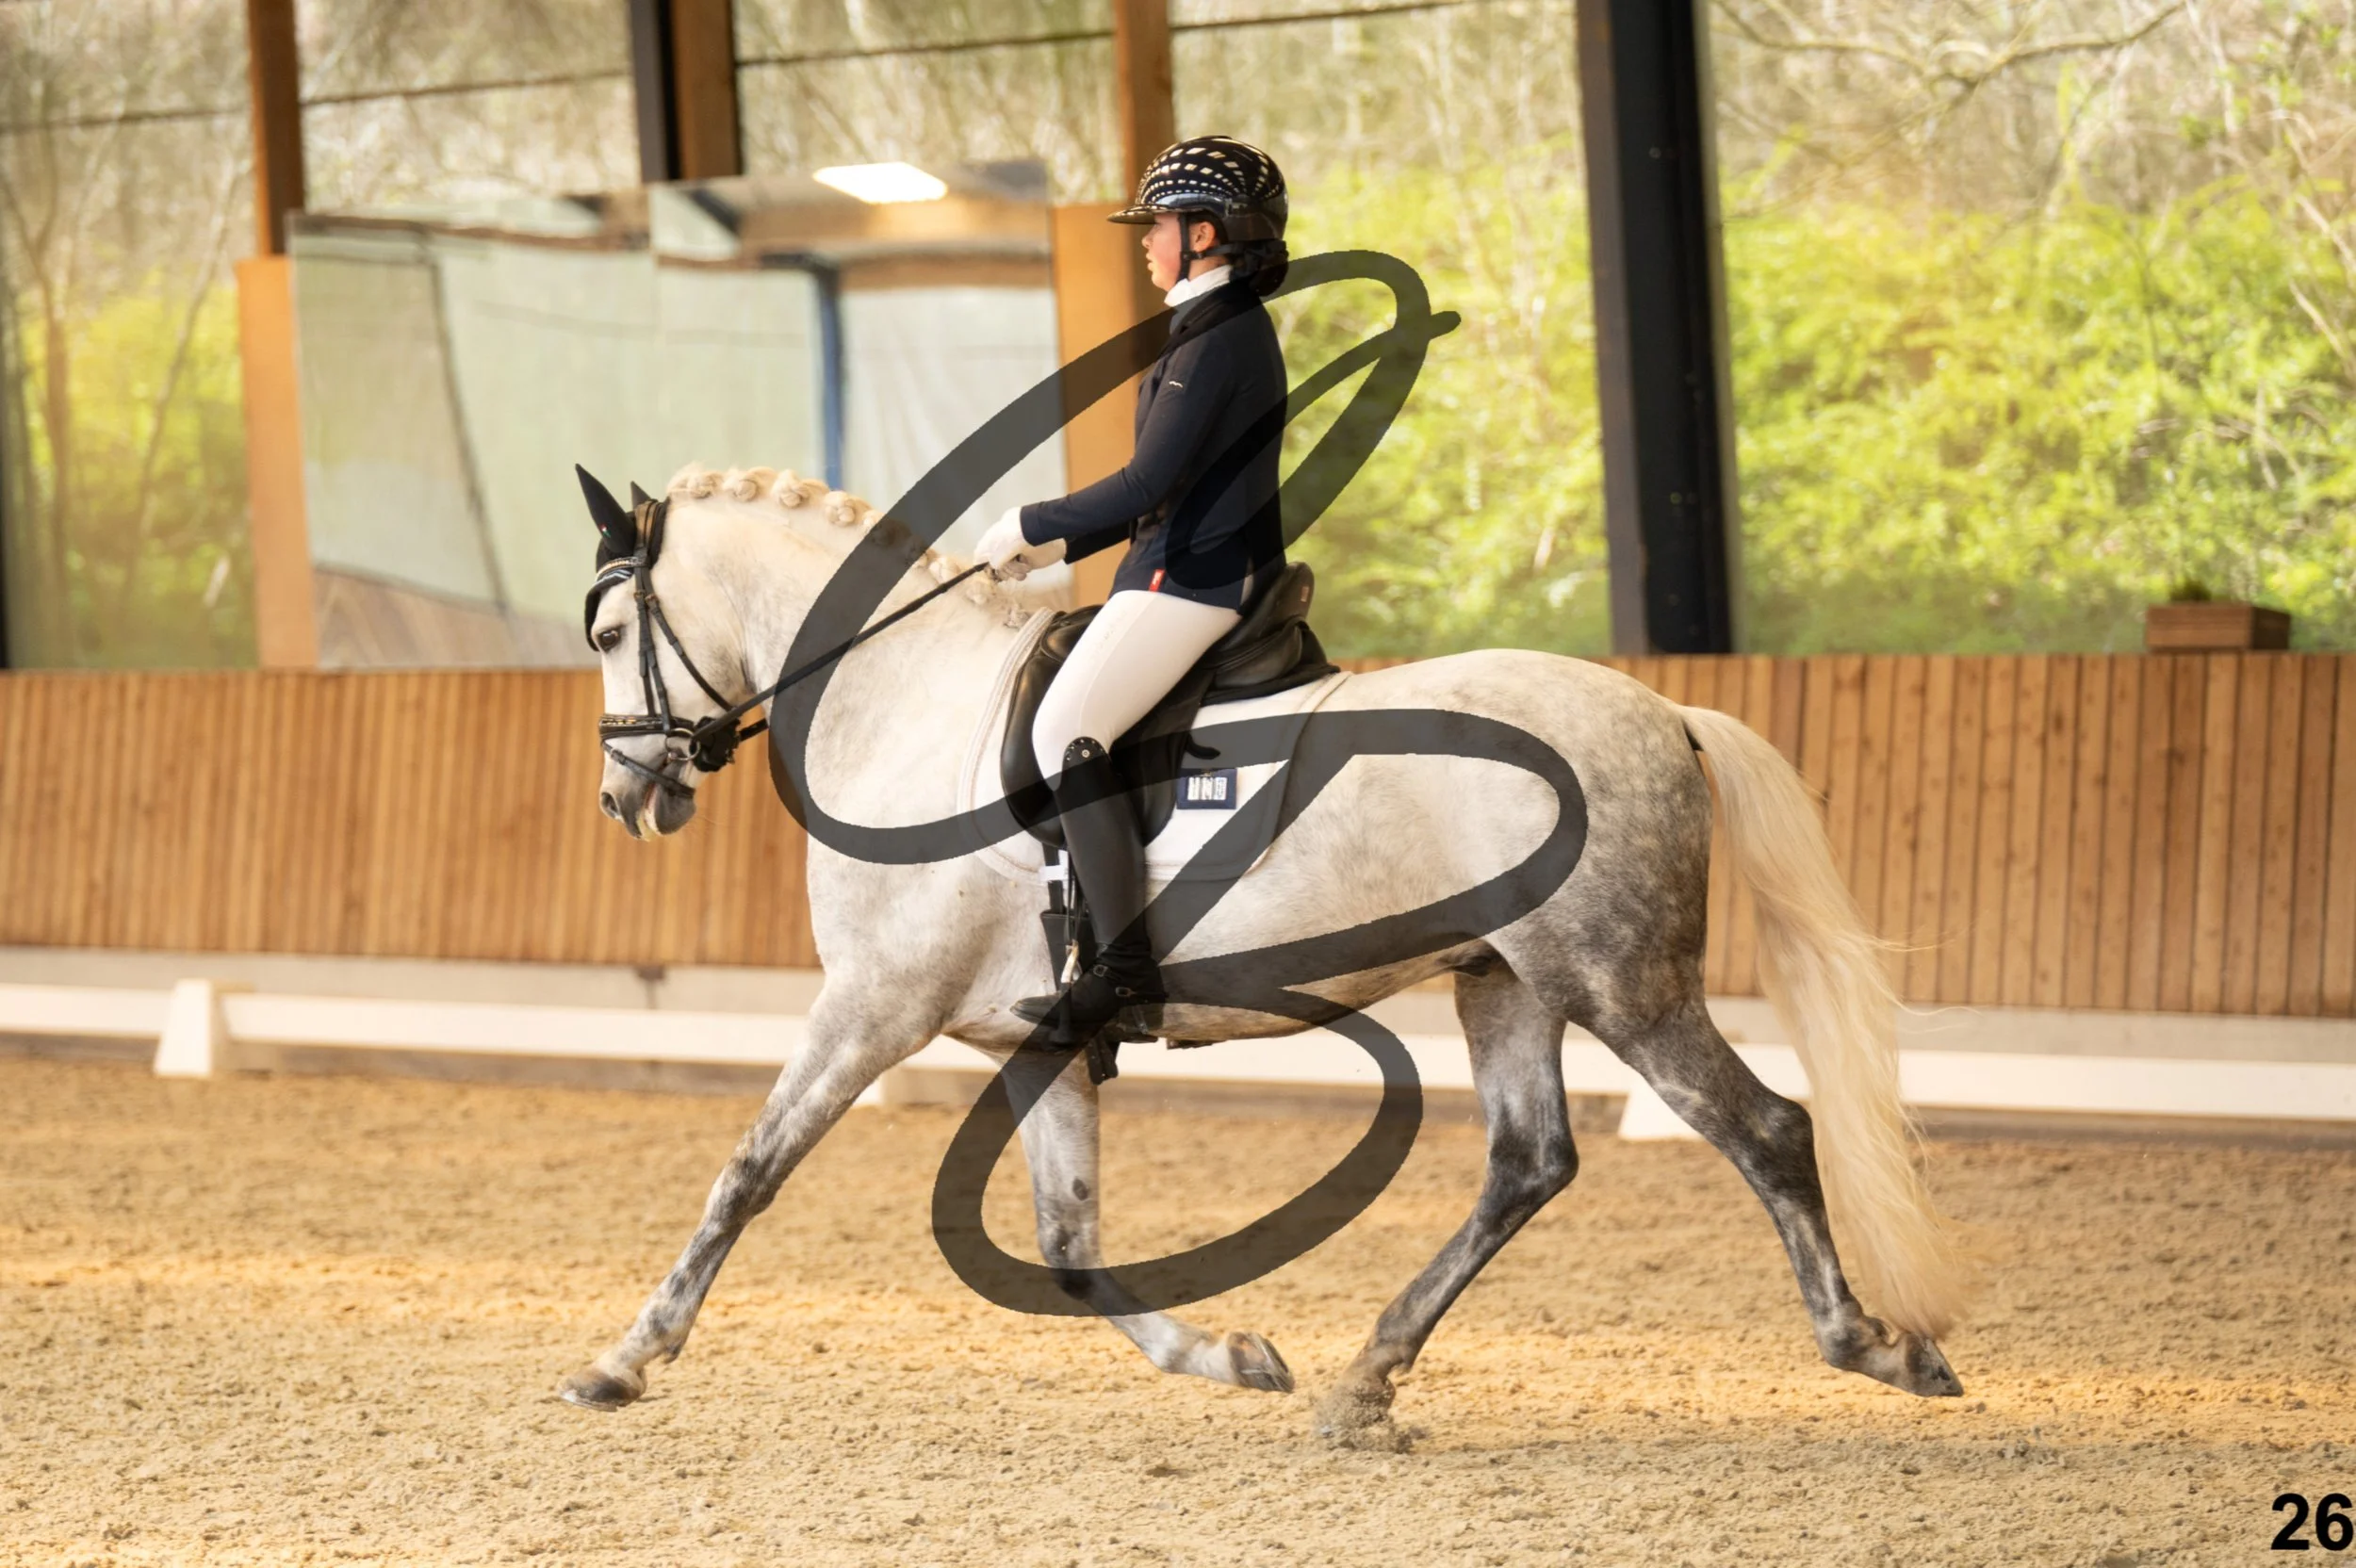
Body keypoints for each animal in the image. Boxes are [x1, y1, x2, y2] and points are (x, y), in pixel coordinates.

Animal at [556, 462, 1972, 1447]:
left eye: (611, 636)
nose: (627, 795)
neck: (904, 702)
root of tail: (1663, 709)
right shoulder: (1034, 1038)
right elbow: (1070, 1245)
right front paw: (1233, 1359)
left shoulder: (869, 1009)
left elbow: (746, 1176)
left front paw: (624, 1358)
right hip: (1503, 979)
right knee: (1529, 1163)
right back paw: (1363, 1383)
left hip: (1619, 982)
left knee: (1768, 1129)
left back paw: (1880, 1347)